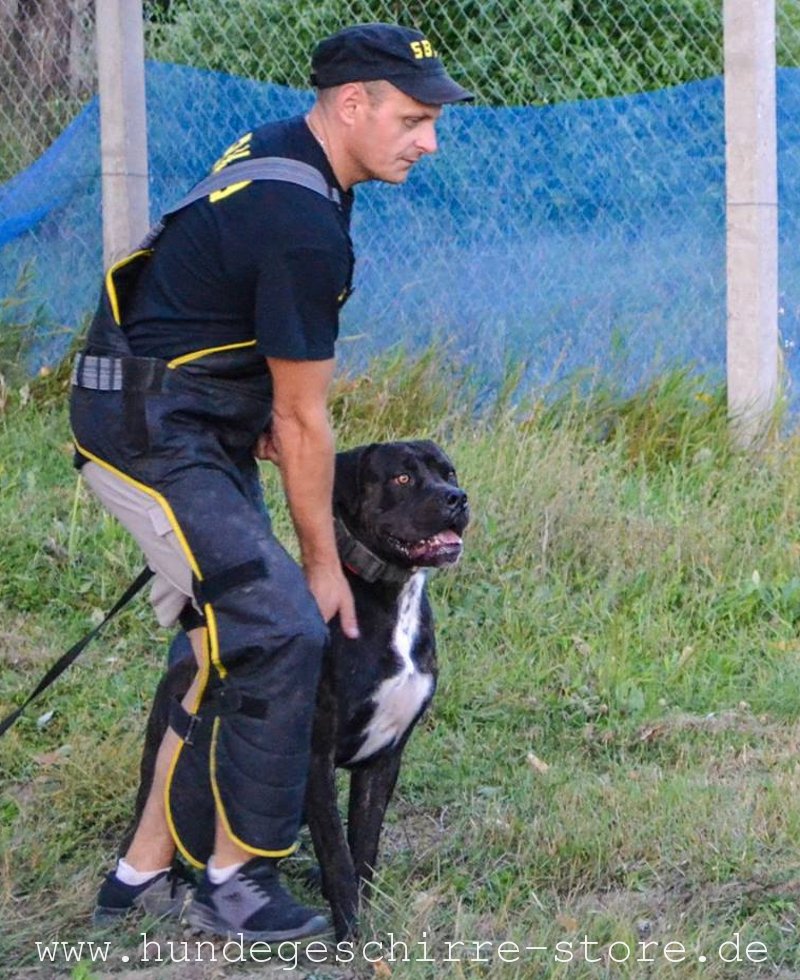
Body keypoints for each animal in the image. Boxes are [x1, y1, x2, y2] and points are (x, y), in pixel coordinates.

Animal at [125, 439, 469, 940]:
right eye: (402, 478)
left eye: (449, 473)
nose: (457, 499)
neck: (389, 596)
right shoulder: (313, 757)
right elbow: (339, 857)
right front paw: (351, 937)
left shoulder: (386, 757)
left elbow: (363, 849)